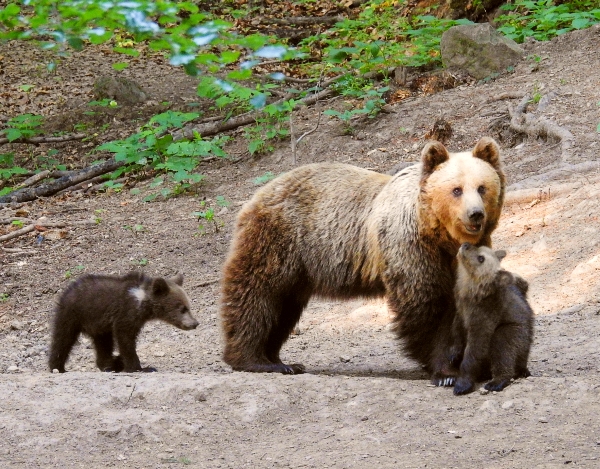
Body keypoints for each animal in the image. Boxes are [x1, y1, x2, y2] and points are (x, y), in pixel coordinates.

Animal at [219, 136, 502, 384]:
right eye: (456, 190)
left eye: (482, 187)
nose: (475, 214)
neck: (439, 235)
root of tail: (260, 192)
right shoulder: (410, 247)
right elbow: (425, 304)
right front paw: (444, 371)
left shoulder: (462, 258)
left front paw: (477, 365)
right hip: (279, 241)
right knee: (257, 295)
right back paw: (256, 360)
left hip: (297, 270)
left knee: (282, 307)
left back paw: (280, 361)